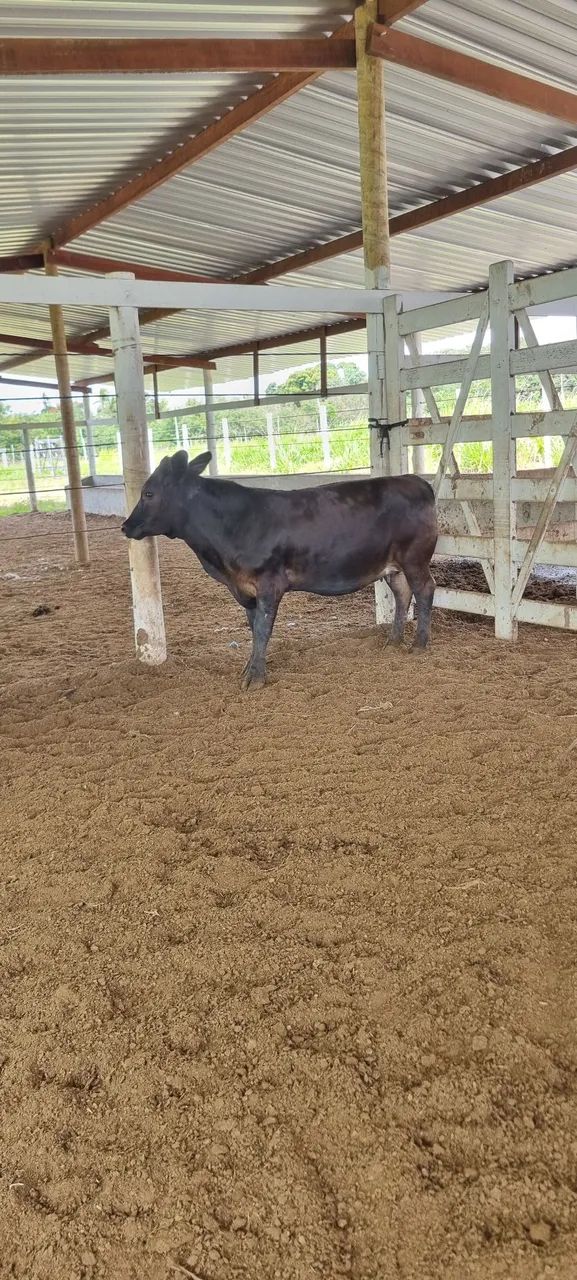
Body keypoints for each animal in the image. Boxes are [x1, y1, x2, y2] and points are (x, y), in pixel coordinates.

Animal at [122, 450, 437, 690]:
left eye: (148, 493)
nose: (126, 526)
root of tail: (413, 480)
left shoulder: (268, 584)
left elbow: (263, 630)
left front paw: (255, 679)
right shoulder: (246, 590)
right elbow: (253, 630)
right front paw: (249, 668)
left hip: (415, 558)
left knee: (424, 590)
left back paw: (419, 644)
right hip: (393, 566)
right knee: (402, 594)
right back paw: (393, 642)